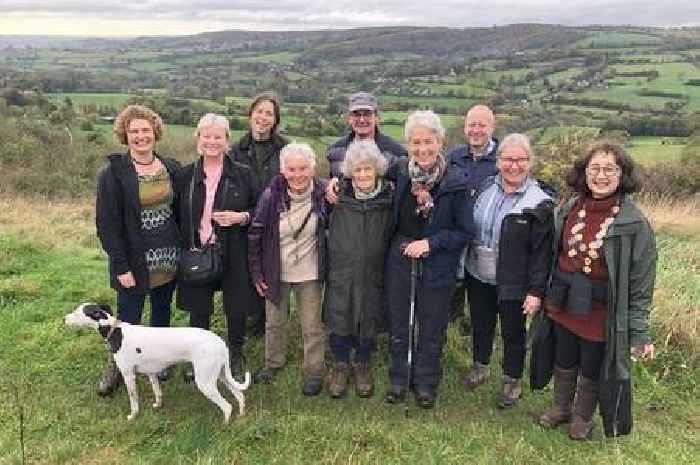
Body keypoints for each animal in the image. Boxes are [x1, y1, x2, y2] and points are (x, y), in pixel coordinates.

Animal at [65, 302, 252, 422]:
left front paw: (133, 416)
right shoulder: (151, 374)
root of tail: (219, 342)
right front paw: (157, 405)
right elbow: (158, 393)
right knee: (240, 395)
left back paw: (225, 424)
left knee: (227, 406)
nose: (64, 318)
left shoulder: (128, 375)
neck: (117, 331)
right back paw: (242, 415)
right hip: (220, 375)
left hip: (205, 382)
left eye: (77, 312)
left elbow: (134, 400)